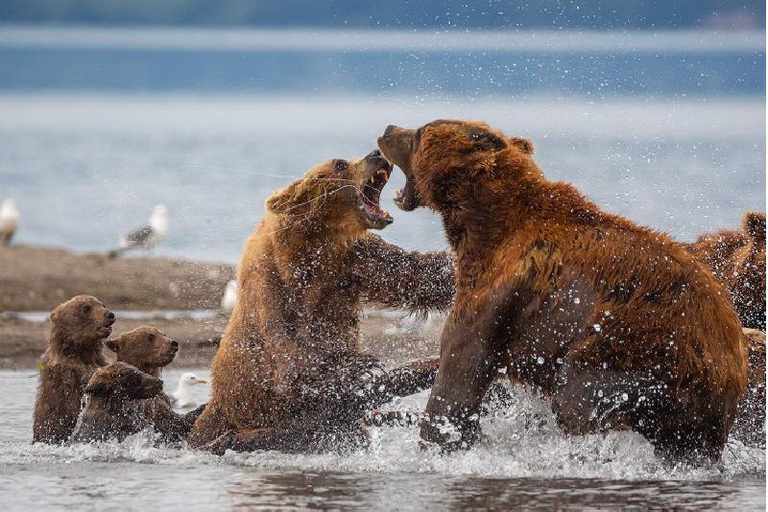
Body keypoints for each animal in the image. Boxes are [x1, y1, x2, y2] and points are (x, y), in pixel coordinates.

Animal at [188, 150, 452, 454]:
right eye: (340, 163)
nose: (377, 154)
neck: (315, 243)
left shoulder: (354, 262)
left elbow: (417, 274)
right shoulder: (271, 285)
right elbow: (291, 362)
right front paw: (360, 364)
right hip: (235, 413)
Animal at [380, 121, 752, 464]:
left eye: (419, 132)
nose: (388, 129)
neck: (483, 222)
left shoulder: (496, 290)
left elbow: (460, 367)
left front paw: (438, 441)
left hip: (635, 348)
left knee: (578, 400)